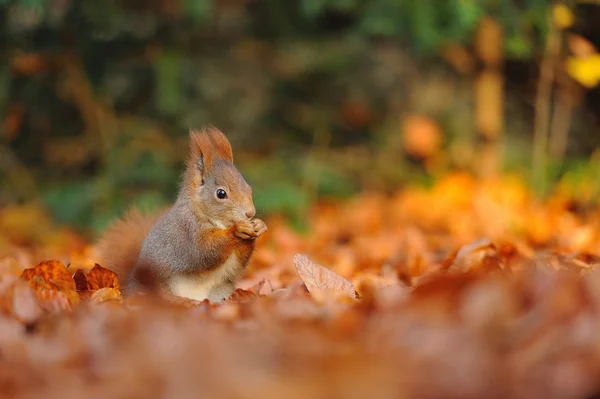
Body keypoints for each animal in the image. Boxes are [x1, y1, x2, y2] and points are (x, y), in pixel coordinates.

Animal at [96, 127, 268, 304]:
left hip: (220, 291)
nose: (250, 212)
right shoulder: (186, 232)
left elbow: (238, 261)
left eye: (248, 188)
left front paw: (259, 226)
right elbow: (203, 251)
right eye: (221, 194)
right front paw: (237, 229)